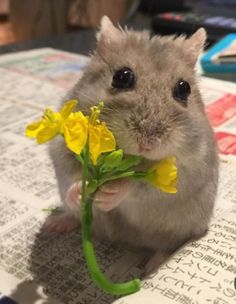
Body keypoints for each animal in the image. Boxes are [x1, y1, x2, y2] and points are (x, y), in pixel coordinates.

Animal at [47, 15, 218, 274]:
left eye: (184, 88)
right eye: (122, 76)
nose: (147, 143)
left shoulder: (189, 170)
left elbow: (137, 186)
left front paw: (108, 194)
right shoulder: (61, 148)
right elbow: (73, 173)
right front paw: (82, 190)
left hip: (180, 228)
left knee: (166, 245)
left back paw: (151, 268)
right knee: (74, 216)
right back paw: (55, 225)